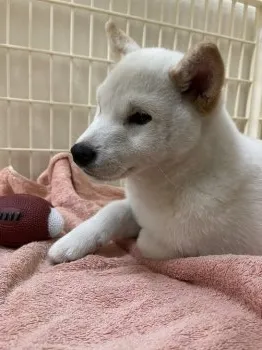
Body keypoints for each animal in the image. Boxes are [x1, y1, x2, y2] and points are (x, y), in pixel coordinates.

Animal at [48, 21, 262, 262]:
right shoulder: (136, 207)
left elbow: (147, 242)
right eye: (101, 107)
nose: (78, 152)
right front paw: (72, 241)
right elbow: (113, 209)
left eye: (141, 117)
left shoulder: (194, 246)